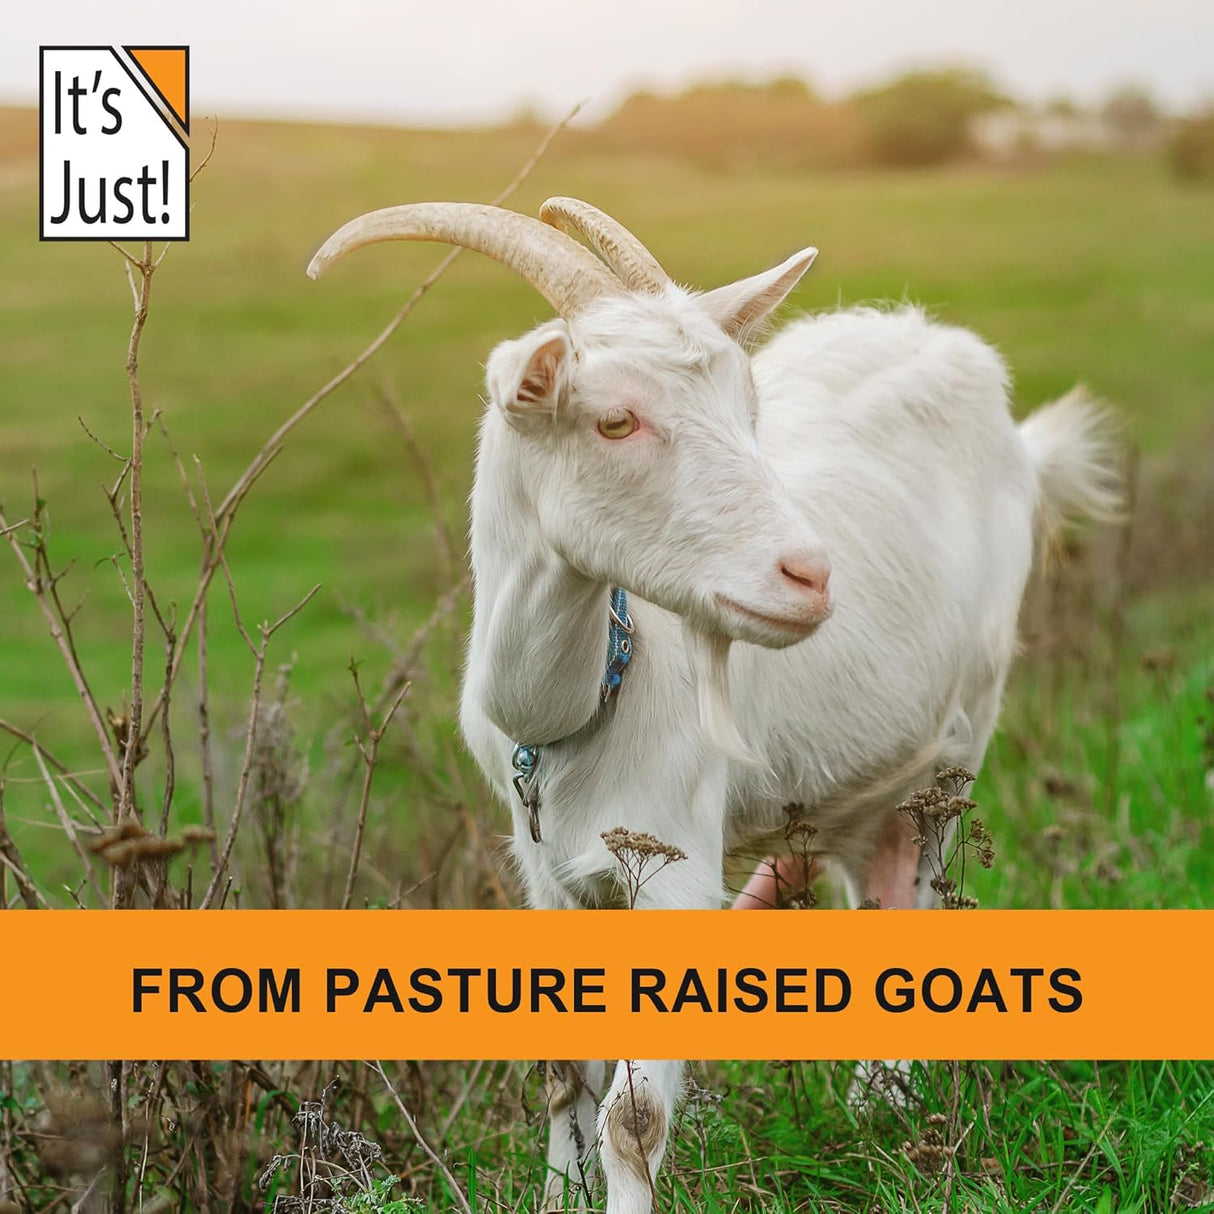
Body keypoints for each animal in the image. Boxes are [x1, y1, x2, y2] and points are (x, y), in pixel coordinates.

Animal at [308, 197, 1119, 1214]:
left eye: (749, 413)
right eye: (615, 420)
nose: (810, 574)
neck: (576, 709)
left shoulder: (674, 859)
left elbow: (632, 1114)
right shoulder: (544, 873)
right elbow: (561, 1071)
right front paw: (556, 1193)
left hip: (963, 737)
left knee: (924, 884)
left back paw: (894, 1098)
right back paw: (875, 1096)